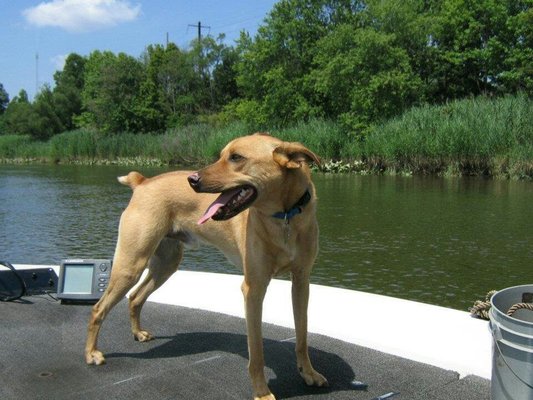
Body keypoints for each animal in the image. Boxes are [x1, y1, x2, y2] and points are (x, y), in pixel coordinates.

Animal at [84, 134, 326, 400]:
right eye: (221, 155)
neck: (285, 217)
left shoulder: (301, 282)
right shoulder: (253, 288)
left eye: (236, 157)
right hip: (131, 264)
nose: (192, 180)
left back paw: (138, 333)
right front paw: (262, 392)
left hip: (166, 263)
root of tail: (143, 182)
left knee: (136, 297)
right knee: (98, 309)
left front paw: (309, 373)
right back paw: (92, 354)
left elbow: (302, 335)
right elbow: (256, 351)